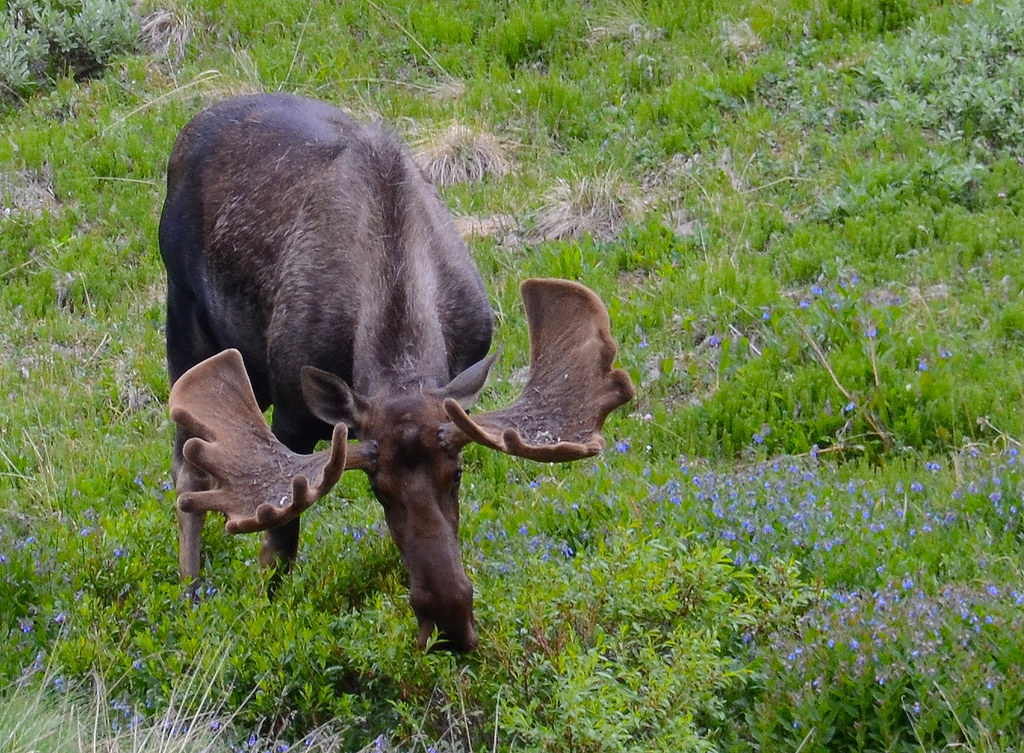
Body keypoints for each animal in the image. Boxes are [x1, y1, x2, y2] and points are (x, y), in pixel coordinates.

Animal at [159, 93, 634, 652]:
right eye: (377, 487)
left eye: (458, 473)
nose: (449, 624)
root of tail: (188, 130)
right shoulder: (293, 417)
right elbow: (278, 544)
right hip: (185, 319)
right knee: (186, 467)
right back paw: (192, 589)